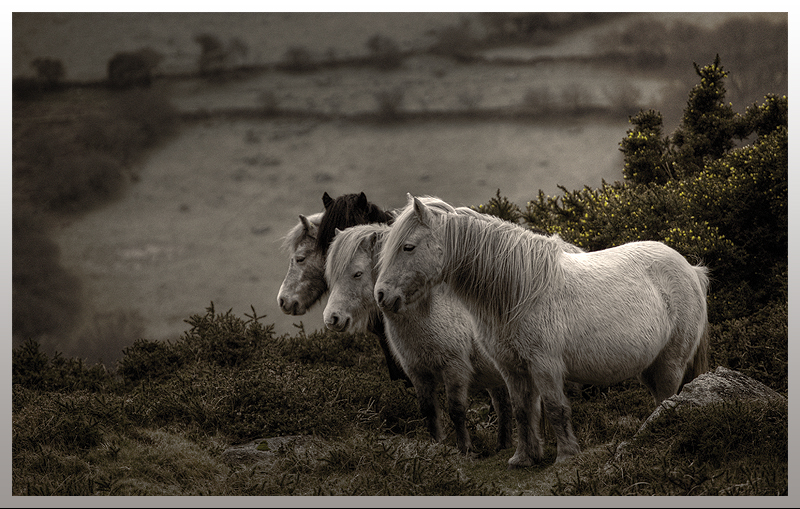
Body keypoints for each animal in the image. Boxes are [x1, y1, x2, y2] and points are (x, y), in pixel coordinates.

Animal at [376, 194, 712, 468]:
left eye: (408, 247)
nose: (382, 296)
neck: (520, 292)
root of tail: (691, 269)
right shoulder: (511, 368)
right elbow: (522, 410)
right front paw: (524, 457)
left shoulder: (544, 365)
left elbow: (554, 407)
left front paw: (565, 455)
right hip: (649, 366)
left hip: (670, 363)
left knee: (666, 399)